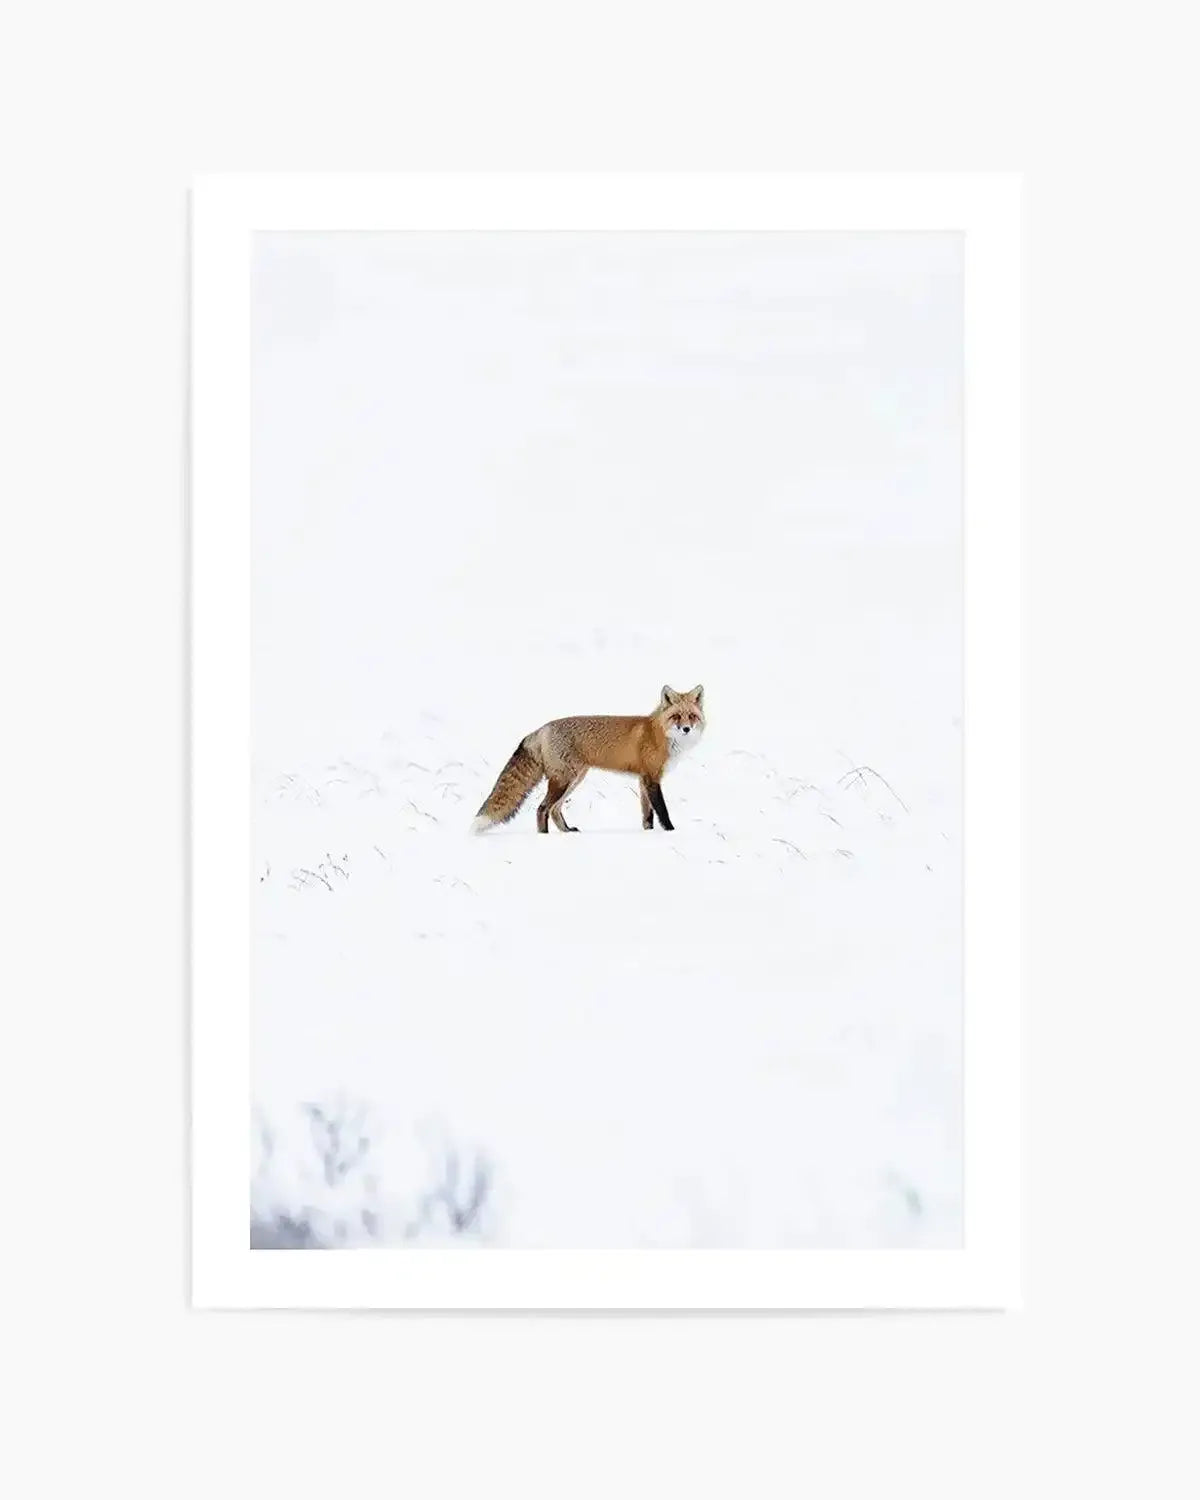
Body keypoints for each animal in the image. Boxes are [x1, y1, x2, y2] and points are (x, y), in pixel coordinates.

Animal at [471, 684, 705, 834]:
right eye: (676, 716)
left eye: (692, 716)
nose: (686, 729)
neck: (660, 734)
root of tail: (542, 728)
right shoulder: (651, 778)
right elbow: (662, 811)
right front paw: (671, 832)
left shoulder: (643, 780)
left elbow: (647, 815)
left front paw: (648, 834)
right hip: (564, 780)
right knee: (542, 809)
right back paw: (544, 837)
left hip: (574, 780)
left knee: (554, 809)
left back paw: (567, 831)